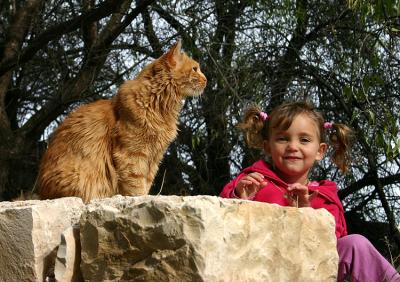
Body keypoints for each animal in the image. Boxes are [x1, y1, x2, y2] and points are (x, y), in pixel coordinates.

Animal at [37, 40, 206, 202]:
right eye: (195, 69)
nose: (207, 80)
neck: (159, 107)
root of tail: (42, 193)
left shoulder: (153, 159)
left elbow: (146, 183)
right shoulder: (133, 155)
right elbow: (136, 187)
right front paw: (140, 200)